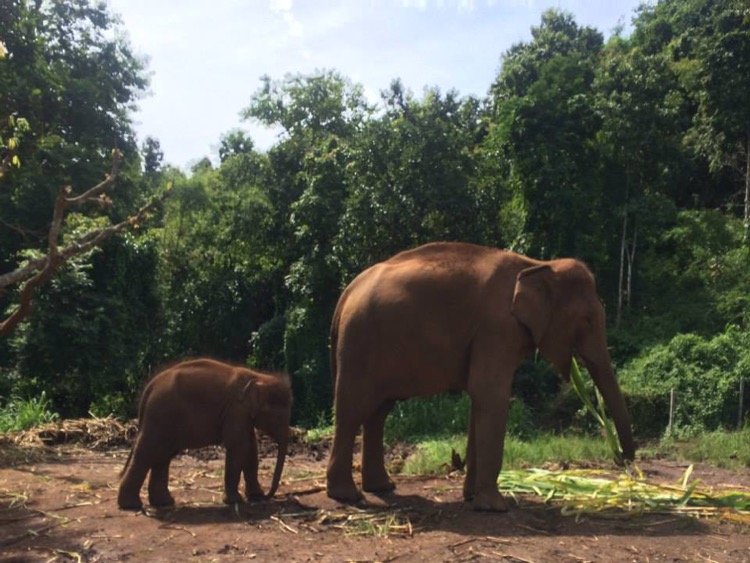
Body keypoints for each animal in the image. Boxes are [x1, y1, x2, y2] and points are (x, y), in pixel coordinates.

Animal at [118, 362, 294, 512]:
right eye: (279, 418)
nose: (269, 496)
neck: (258, 377)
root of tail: (150, 386)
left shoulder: (242, 414)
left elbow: (251, 449)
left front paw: (255, 496)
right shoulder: (236, 410)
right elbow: (238, 446)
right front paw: (235, 501)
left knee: (162, 456)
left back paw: (164, 503)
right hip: (159, 416)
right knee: (147, 454)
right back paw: (131, 506)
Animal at [326, 242, 636, 512]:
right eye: (587, 321)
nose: (623, 459)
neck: (538, 265)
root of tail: (347, 292)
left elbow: (480, 399)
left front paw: (472, 497)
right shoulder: (497, 327)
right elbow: (490, 393)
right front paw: (496, 507)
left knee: (378, 412)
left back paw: (382, 487)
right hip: (359, 342)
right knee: (352, 409)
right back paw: (348, 496)